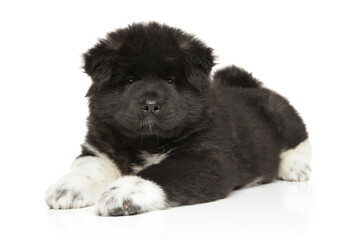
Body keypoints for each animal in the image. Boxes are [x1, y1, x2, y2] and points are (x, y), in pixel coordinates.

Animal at [45, 22, 310, 216]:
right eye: (130, 80)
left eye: (171, 81)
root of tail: (250, 85)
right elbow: (88, 167)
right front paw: (67, 189)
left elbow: (161, 172)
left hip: (281, 115)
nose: (151, 105)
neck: (146, 141)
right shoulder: (100, 148)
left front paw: (122, 193)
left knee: (298, 143)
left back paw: (294, 168)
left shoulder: (207, 159)